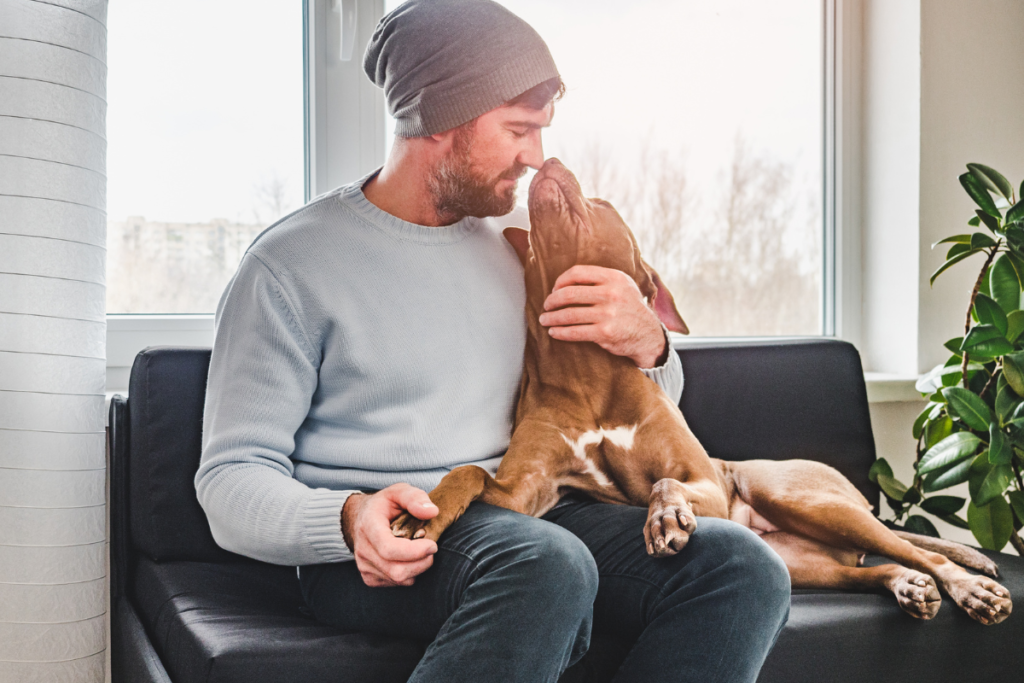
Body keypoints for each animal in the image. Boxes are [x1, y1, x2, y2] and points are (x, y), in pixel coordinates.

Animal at [395, 156, 1011, 626]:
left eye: (607, 204)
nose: (549, 160)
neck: (585, 370)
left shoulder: (706, 485)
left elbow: (666, 480)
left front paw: (666, 519)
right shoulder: (524, 494)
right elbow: (470, 474)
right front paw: (422, 515)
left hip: (802, 498)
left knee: (909, 545)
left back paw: (969, 585)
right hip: (800, 561)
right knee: (883, 563)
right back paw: (908, 585)